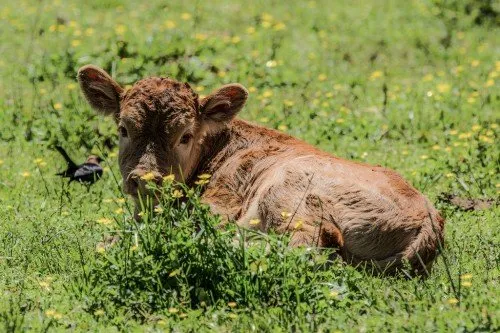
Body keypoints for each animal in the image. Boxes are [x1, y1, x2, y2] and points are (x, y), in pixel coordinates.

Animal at [78, 65, 446, 274]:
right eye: (124, 129)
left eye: (185, 135)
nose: (146, 180)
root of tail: (428, 219)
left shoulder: (219, 206)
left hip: (290, 193)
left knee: (303, 249)